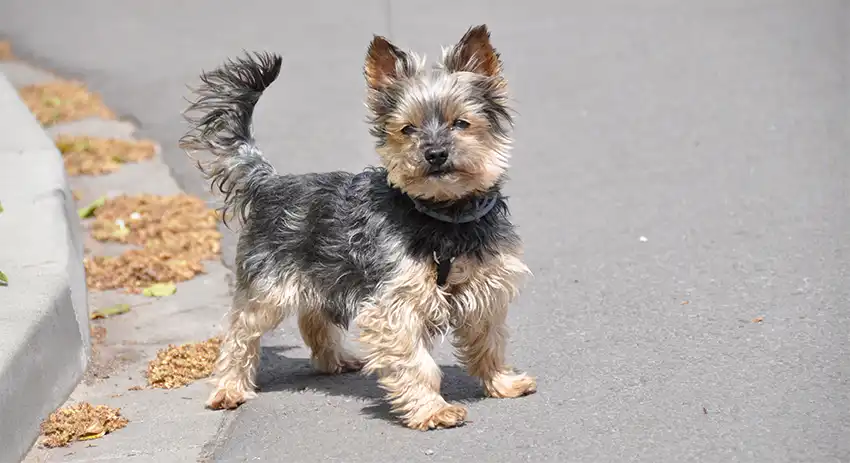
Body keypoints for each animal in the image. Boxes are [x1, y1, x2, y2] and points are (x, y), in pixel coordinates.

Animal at [178, 24, 532, 432]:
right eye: (407, 129)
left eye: (461, 123)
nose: (435, 153)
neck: (444, 215)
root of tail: (268, 182)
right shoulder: (393, 305)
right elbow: (416, 362)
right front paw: (433, 410)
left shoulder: (485, 288)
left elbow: (489, 340)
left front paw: (502, 382)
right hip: (267, 286)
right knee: (240, 332)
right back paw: (229, 388)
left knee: (312, 315)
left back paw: (333, 360)